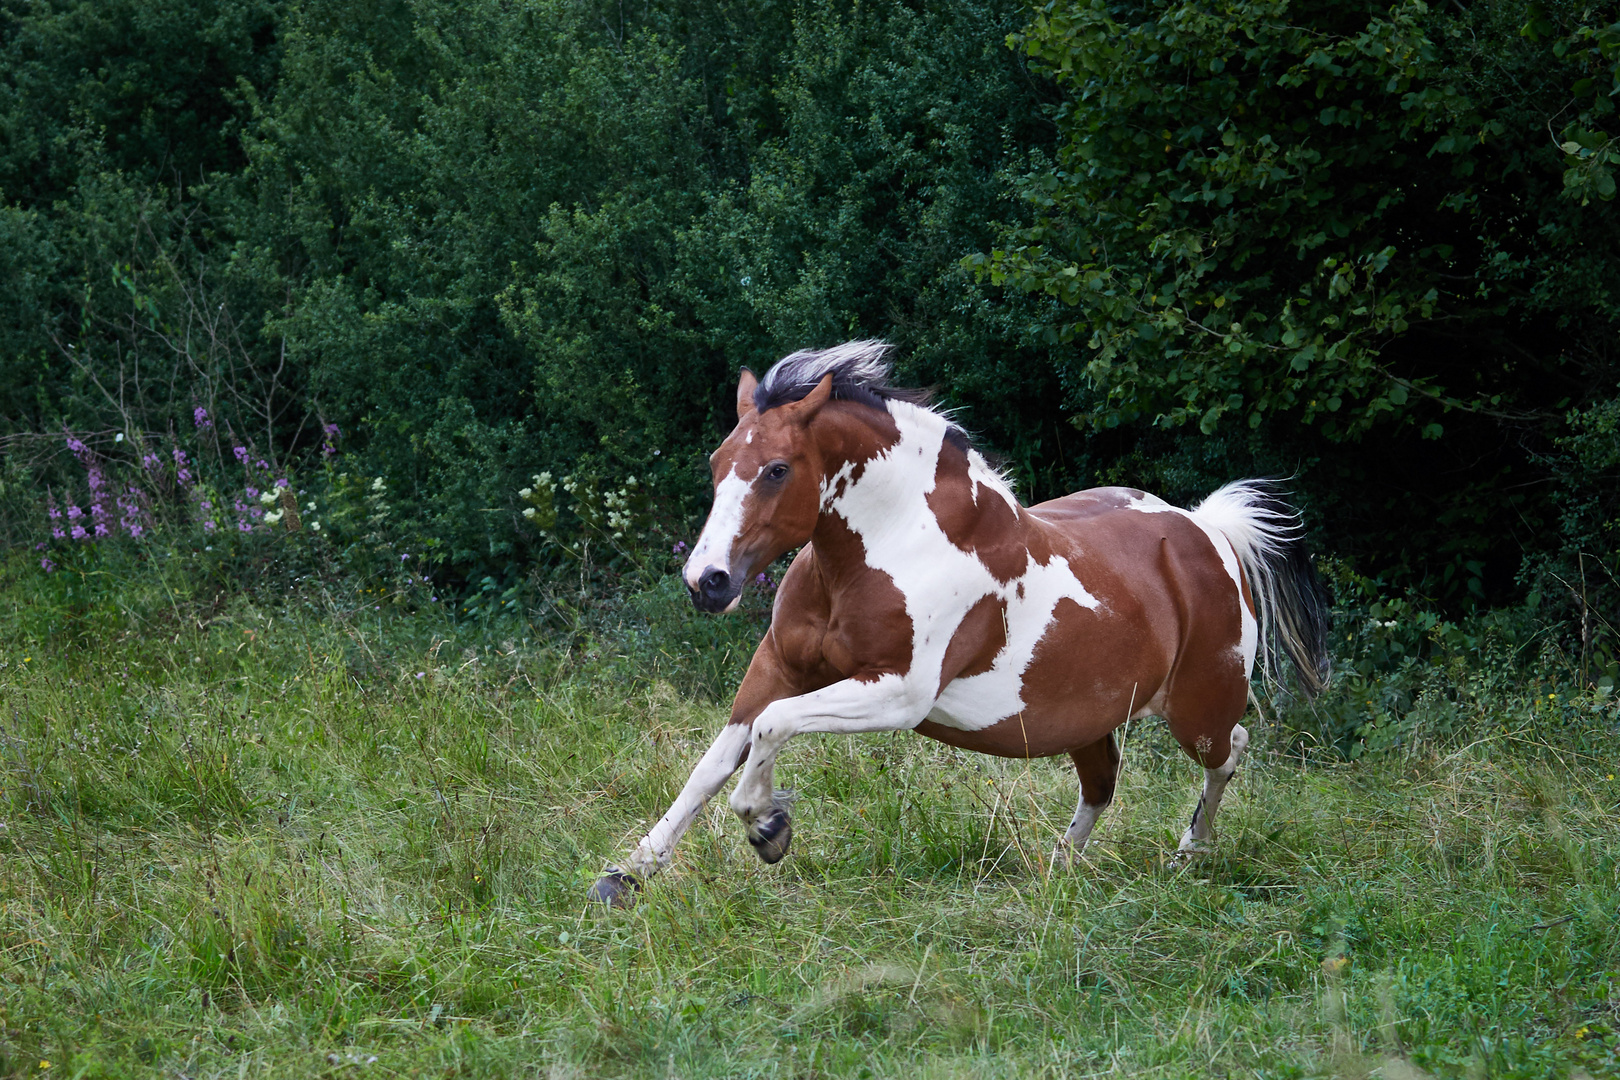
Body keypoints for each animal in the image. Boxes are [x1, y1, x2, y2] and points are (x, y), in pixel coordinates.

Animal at [589, 341, 1321, 906]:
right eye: (717, 463)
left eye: (776, 469)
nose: (706, 582)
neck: (885, 548)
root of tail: (1206, 531)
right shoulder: (778, 666)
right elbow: (714, 763)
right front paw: (626, 875)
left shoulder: (898, 693)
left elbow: (771, 730)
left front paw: (769, 829)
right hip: (1089, 718)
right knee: (1103, 783)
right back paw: (1058, 866)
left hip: (1197, 712)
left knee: (1232, 750)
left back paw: (1188, 854)